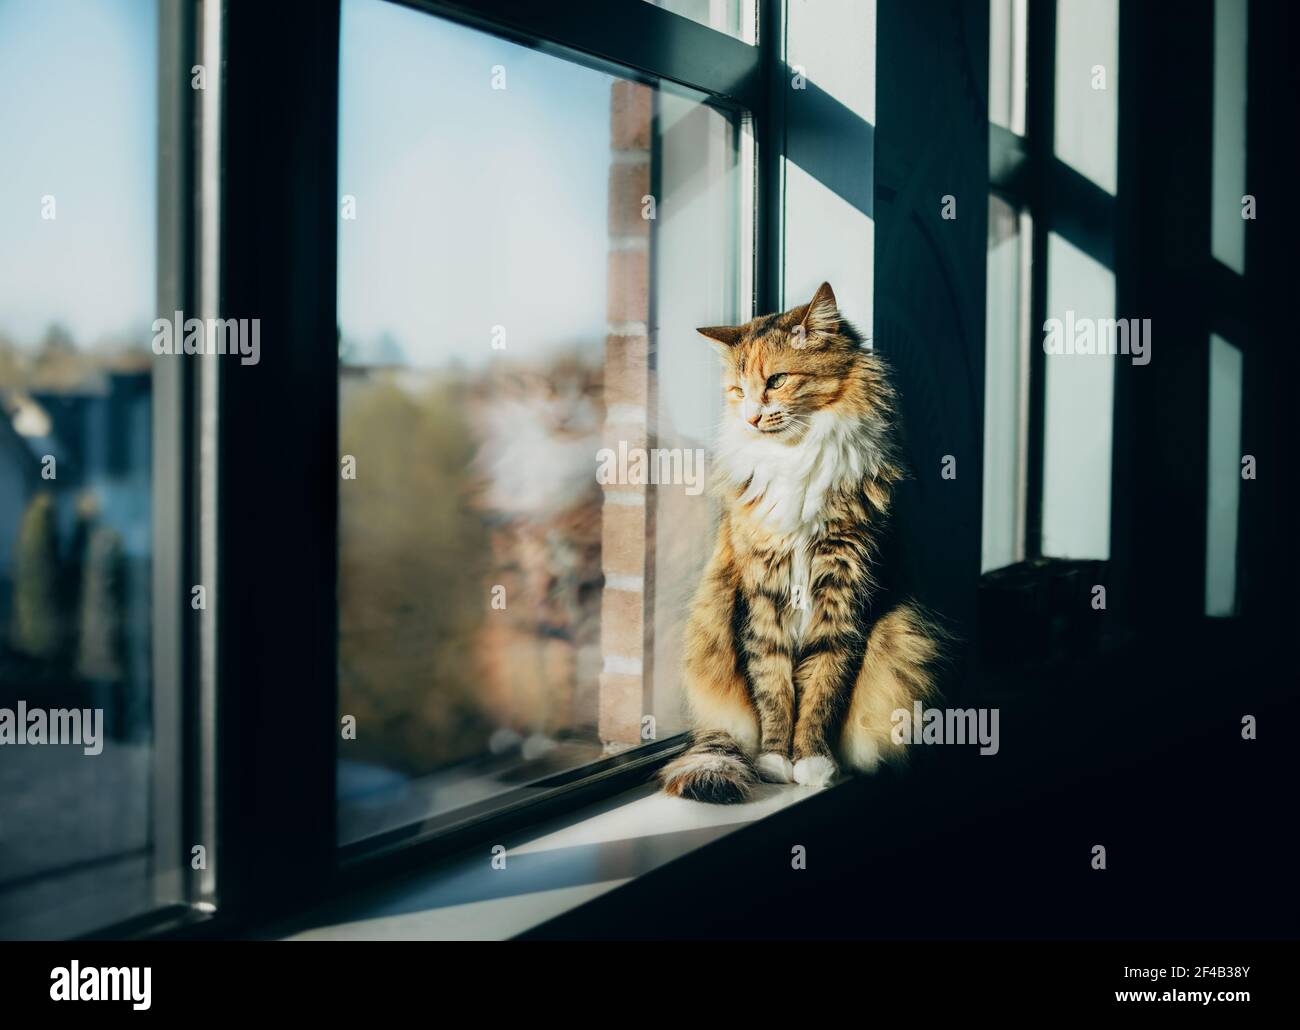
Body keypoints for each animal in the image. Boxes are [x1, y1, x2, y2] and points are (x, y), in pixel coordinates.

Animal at [655, 282, 941, 806]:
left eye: (777, 381)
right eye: (737, 391)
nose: (750, 417)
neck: (797, 461)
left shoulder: (843, 596)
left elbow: (821, 689)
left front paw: (810, 761)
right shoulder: (762, 594)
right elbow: (773, 686)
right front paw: (774, 760)